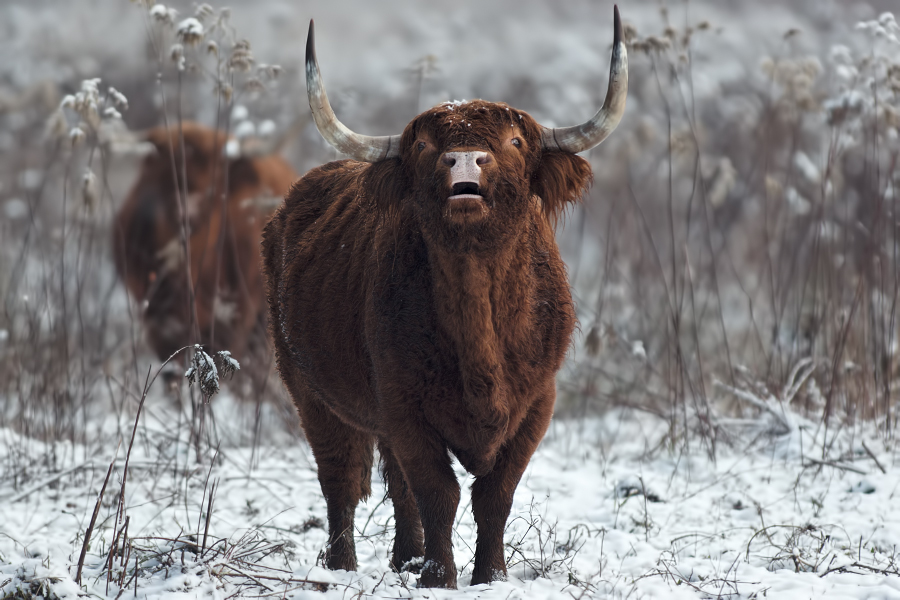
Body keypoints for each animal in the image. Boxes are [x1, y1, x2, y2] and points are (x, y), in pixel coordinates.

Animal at [260, 7, 624, 592]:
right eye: (426, 146)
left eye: (514, 141)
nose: (466, 162)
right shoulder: (404, 404)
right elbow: (438, 491)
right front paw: (439, 577)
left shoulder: (538, 403)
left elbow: (493, 494)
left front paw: (490, 574)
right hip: (309, 391)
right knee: (341, 477)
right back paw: (344, 566)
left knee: (392, 480)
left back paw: (405, 559)